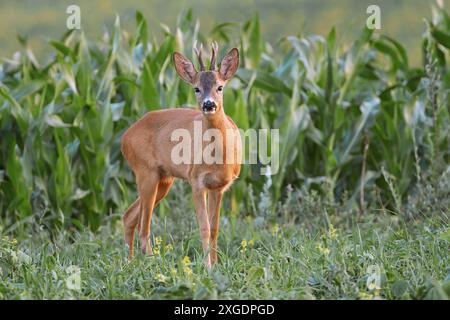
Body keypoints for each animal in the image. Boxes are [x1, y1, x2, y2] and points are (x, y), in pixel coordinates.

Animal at [121, 42, 243, 268]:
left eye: (220, 87)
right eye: (196, 88)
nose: (208, 104)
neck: (218, 158)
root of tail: (124, 138)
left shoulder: (219, 186)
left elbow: (215, 229)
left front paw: (216, 265)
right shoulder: (196, 180)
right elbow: (204, 228)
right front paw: (207, 267)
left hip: (164, 179)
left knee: (129, 216)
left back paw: (129, 262)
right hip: (145, 172)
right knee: (143, 225)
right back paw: (150, 262)